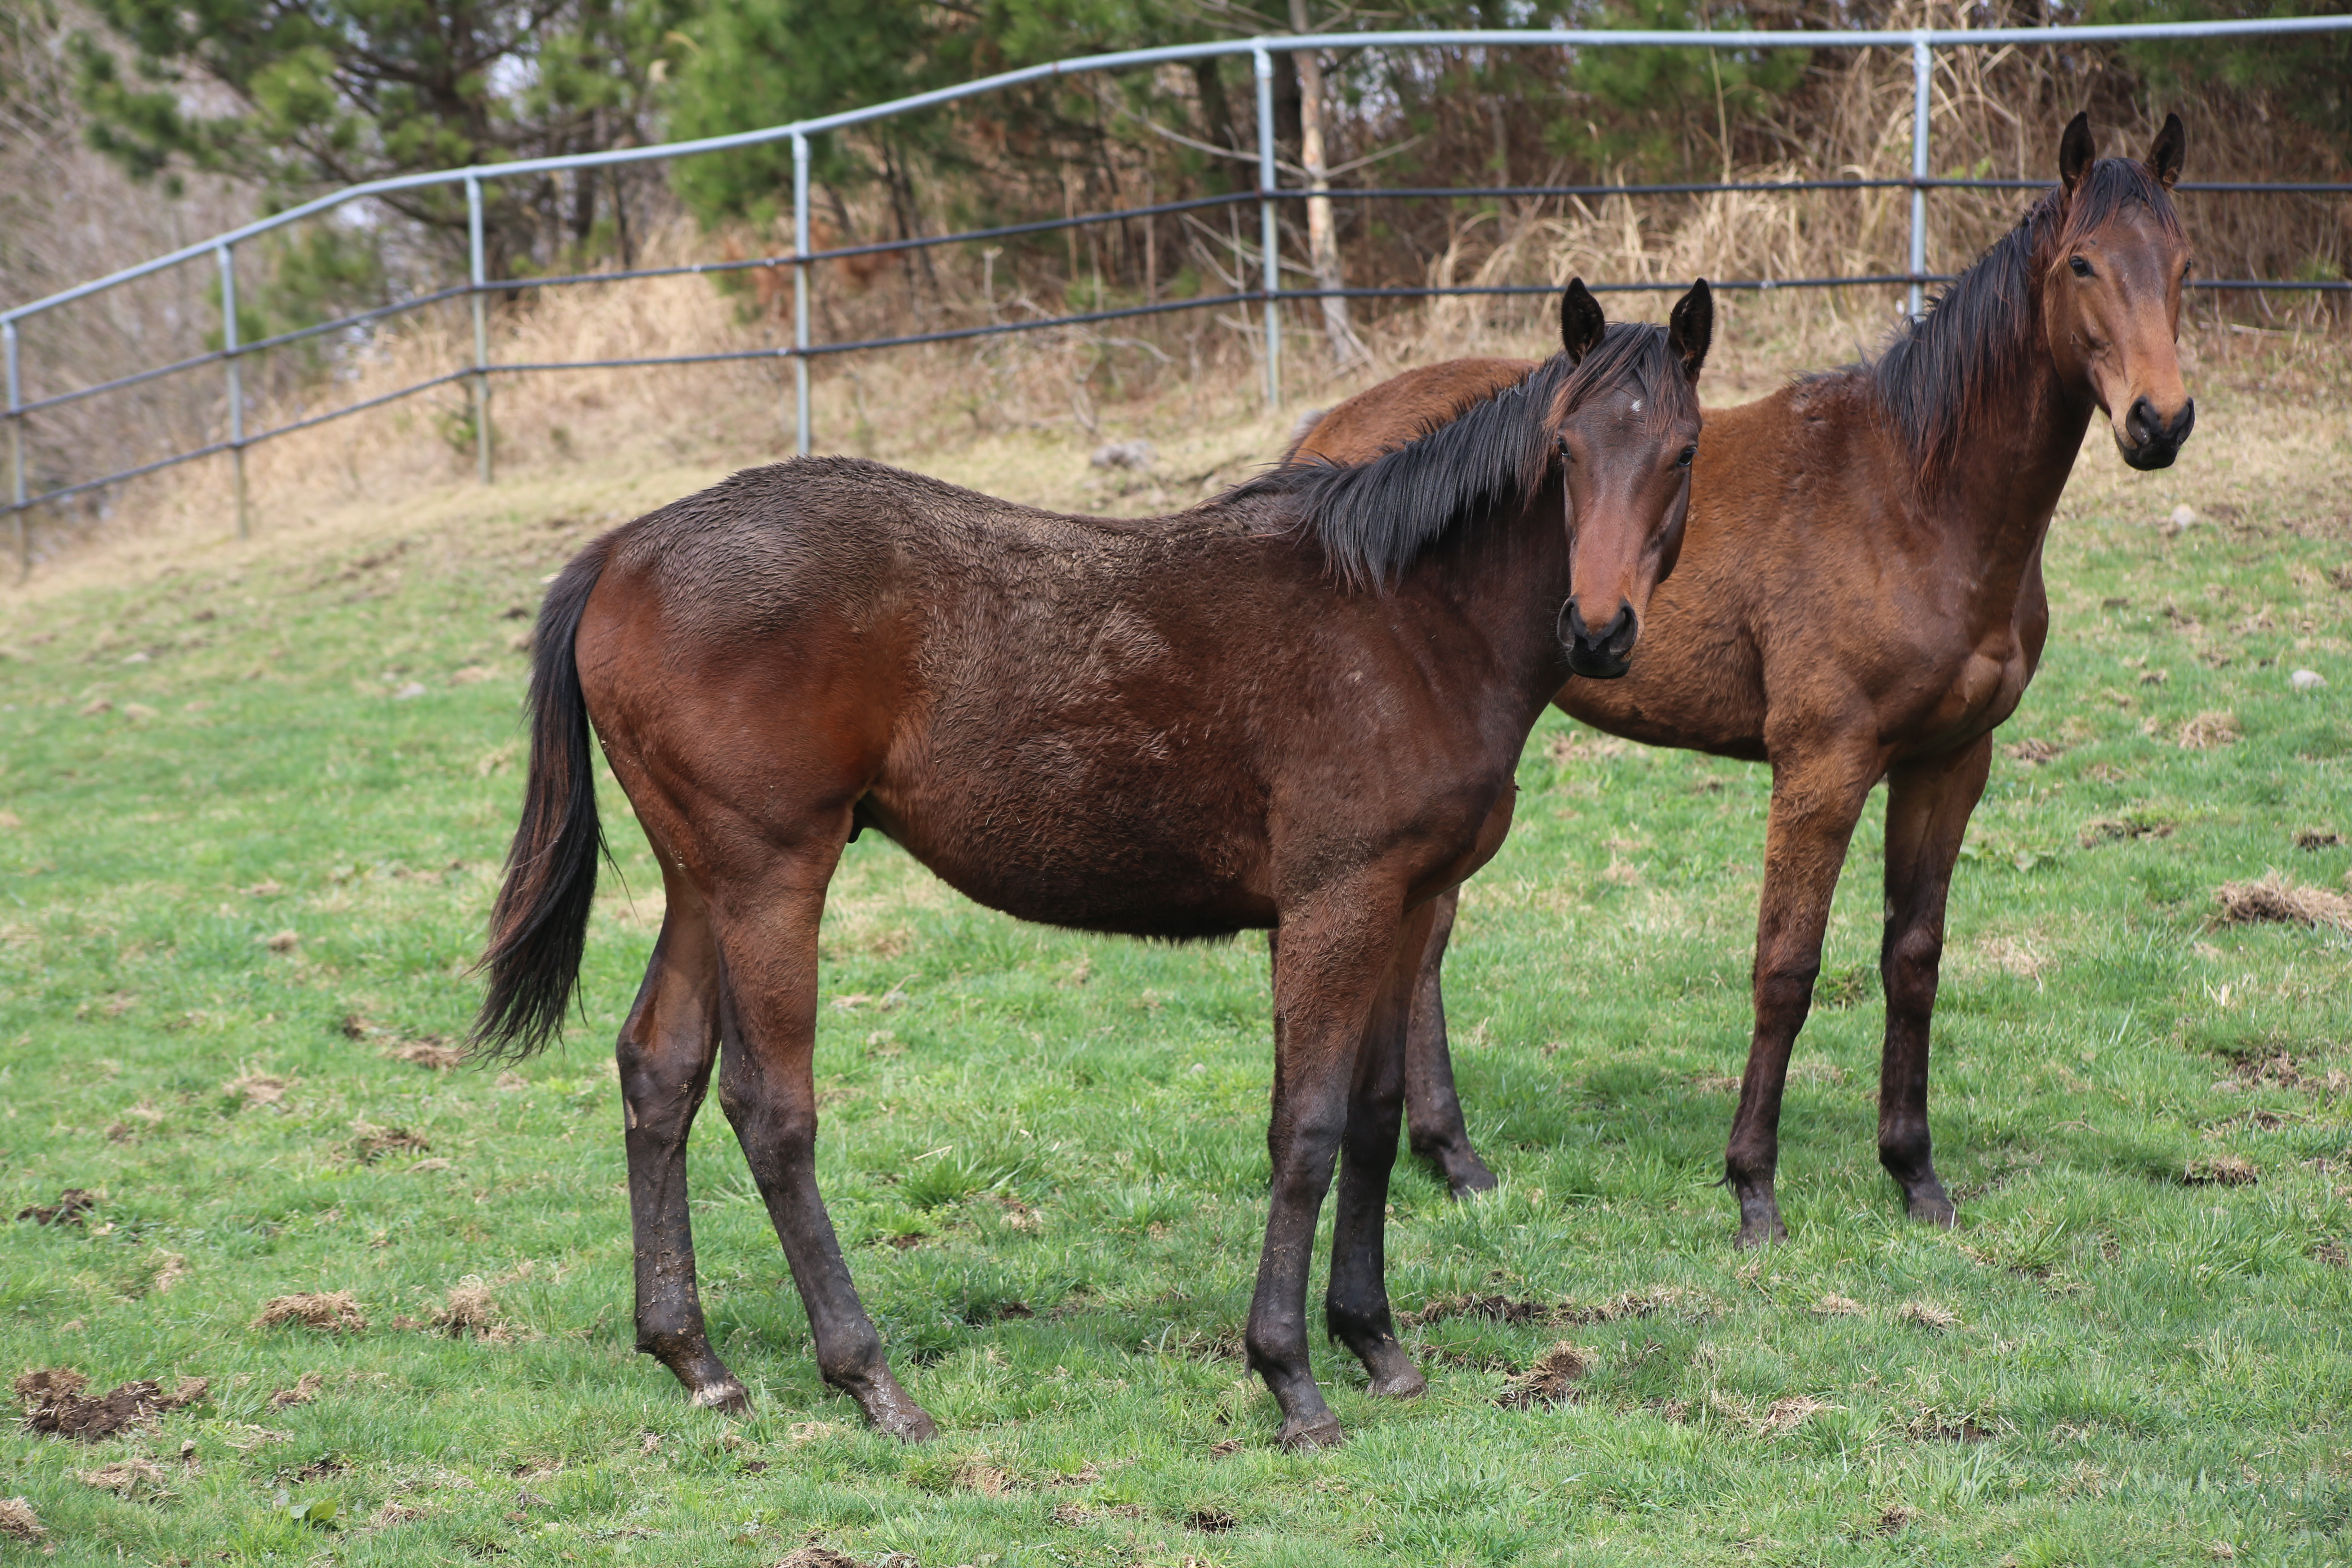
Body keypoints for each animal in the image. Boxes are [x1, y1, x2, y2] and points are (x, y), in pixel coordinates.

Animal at [477, 278, 1722, 1448]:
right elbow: (1306, 1130)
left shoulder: (1408, 899)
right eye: (1563, 450)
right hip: (769, 877)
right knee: (770, 1107)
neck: (1406, 620)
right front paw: (1291, 1379)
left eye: (1682, 451)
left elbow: (1371, 1116)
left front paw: (1375, 1343)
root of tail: (621, 549)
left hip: (701, 878)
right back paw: (871, 1379)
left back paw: (697, 1361)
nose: (1599, 628)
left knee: (660, 1069)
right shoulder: (1335, 901)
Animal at [1298, 110, 2192, 1241]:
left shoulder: (1950, 761)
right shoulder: (1822, 764)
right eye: (2081, 264)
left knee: (1426, 943)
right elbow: (1786, 967)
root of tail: (1328, 437)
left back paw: (1452, 1158)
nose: (2159, 421)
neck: (1913, 498)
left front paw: (1914, 1175)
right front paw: (1753, 1188)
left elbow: (1913, 959)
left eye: (2182, 265)